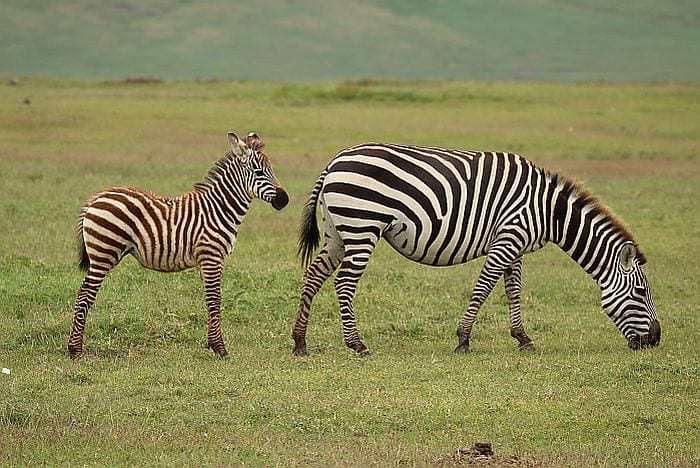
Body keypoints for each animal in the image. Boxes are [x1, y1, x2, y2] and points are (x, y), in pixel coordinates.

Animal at [68, 132, 288, 358]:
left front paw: (212, 344)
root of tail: (94, 199)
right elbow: (214, 300)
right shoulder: (211, 256)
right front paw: (219, 348)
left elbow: (212, 299)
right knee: (84, 294)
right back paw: (75, 350)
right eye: (259, 172)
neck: (219, 209)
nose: (285, 200)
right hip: (104, 253)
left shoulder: (214, 259)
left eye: (271, 170)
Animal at [292, 143, 660, 354]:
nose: (655, 340)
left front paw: (522, 338)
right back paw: (356, 344)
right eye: (641, 293)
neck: (548, 212)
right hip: (362, 226)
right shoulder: (509, 237)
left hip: (338, 232)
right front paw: (463, 338)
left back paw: (300, 342)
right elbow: (484, 288)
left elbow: (513, 290)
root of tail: (335, 161)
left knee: (313, 276)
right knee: (344, 283)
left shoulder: (515, 245)